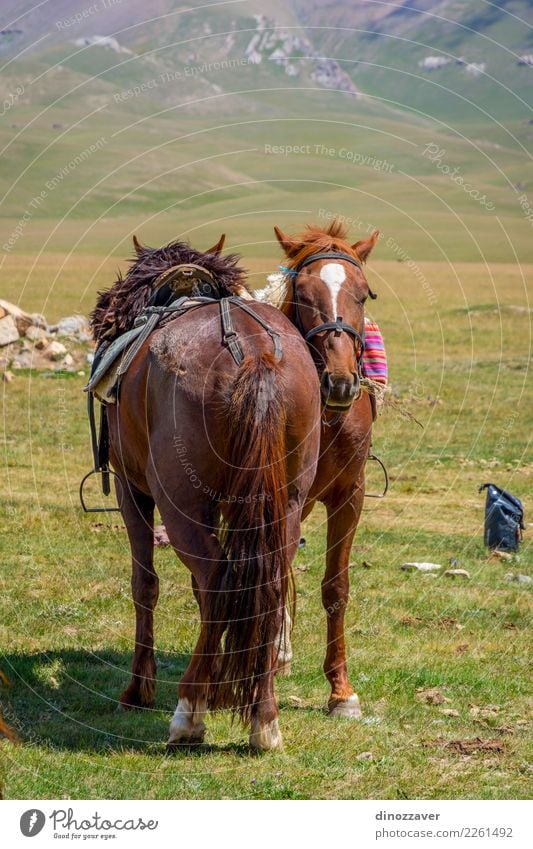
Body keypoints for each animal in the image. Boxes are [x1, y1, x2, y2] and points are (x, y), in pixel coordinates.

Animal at [90, 234, 320, 748]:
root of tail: (253, 352)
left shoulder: (131, 490)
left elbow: (145, 584)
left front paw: (138, 690)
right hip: (286, 502)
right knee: (266, 582)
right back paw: (263, 717)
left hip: (181, 504)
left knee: (216, 579)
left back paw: (189, 713)